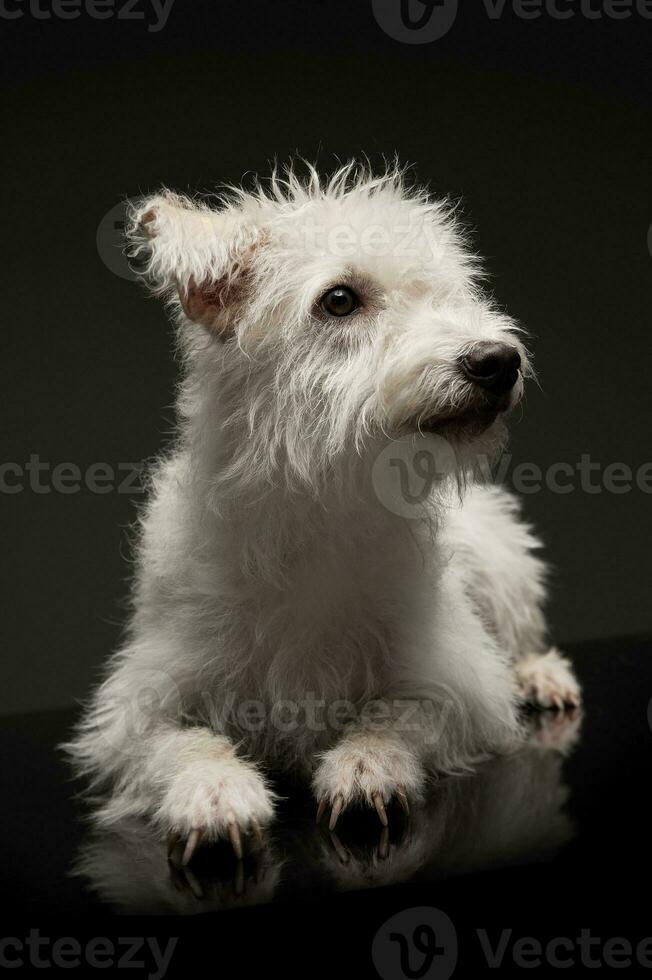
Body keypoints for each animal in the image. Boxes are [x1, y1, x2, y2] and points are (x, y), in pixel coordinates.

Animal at [63, 161, 580, 864]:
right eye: (339, 300)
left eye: (452, 293)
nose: (498, 361)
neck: (321, 501)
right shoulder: (133, 709)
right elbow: (179, 743)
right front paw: (214, 792)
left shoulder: (459, 686)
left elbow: (397, 717)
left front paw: (365, 767)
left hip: (502, 564)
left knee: (521, 633)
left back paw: (539, 674)